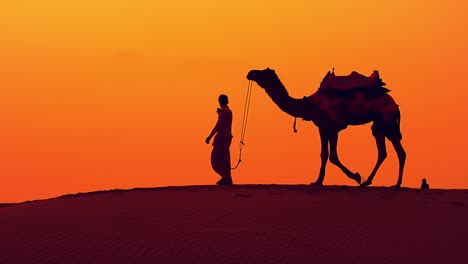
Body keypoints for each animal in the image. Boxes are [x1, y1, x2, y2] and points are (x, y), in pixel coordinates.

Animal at [245, 68, 406, 188]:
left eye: (263, 72)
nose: (250, 73)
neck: (309, 105)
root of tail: (395, 105)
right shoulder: (322, 127)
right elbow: (324, 154)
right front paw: (317, 181)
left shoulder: (333, 127)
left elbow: (333, 156)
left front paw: (356, 176)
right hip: (382, 125)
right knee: (386, 151)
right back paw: (374, 182)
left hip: (386, 120)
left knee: (396, 151)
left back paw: (392, 184)